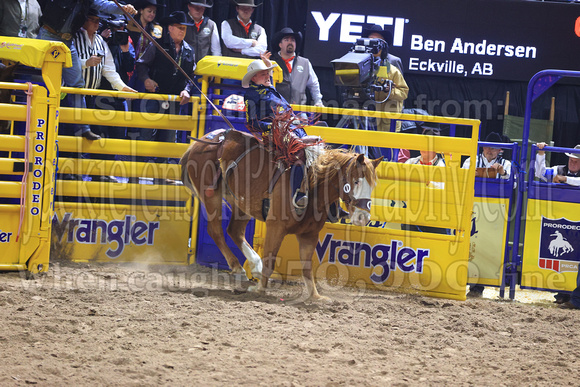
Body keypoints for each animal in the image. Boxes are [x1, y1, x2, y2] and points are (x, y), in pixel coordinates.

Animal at [179, 129, 382, 302]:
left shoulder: (309, 235)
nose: (363, 217)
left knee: (234, 231)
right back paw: (238, 268)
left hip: (241, 203)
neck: (313, 185)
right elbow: (270, 260)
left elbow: (307, 268)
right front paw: (259, 289)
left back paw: (254, 266)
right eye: (356, 181)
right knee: (216, 231)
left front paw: (316, 296)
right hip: (211, 197)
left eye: (372, 185)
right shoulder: (275, 227)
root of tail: (198, 144)